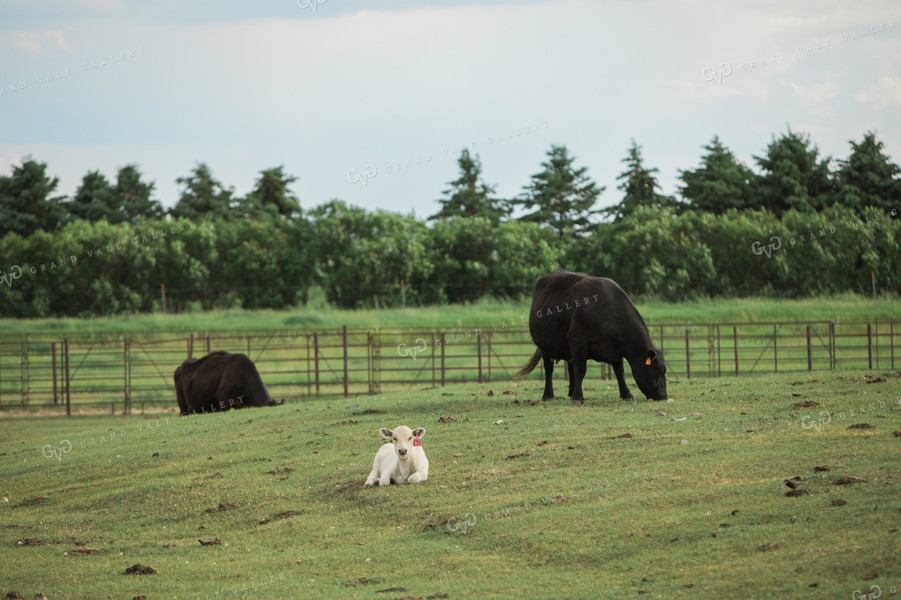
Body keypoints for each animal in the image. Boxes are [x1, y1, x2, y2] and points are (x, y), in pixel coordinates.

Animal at [512, 270, 668, 404]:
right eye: (660, 371)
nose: (664, 396)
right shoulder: (578, 340)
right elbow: (581, 370)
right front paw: (578, 398)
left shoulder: (615, 349)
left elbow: (620, 372)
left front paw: (626, 395)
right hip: (545, 346)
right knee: (549, 369)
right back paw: (549, 395)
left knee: (571, 366)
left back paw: (571, 392)